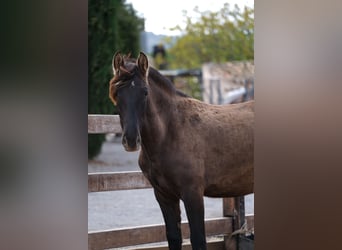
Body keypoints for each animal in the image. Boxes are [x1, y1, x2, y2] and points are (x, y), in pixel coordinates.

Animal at [109, 51, 254, 249]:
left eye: (145, 92)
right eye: (117, 93)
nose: (131, 140)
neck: (171, 132)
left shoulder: (193, 194)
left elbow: (198, 238)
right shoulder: (164, 195)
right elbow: (173, 237)